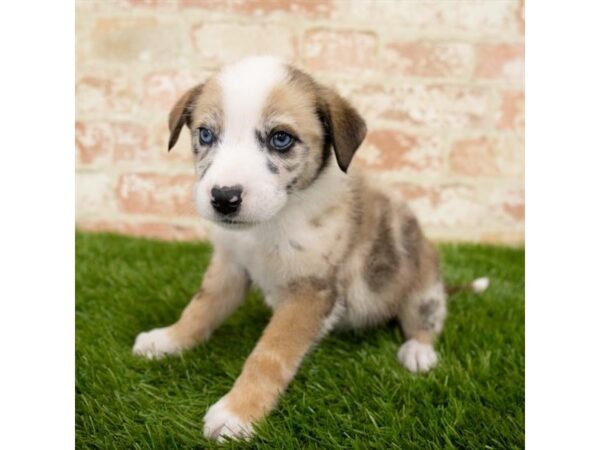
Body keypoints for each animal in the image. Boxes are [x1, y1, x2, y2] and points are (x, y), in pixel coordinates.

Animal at [132, 57, 488, 442]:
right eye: (206, 135)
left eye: (281, 138)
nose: (224, 198)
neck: (270, 224)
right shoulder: (230, 266)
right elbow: (199, 309)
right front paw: (167, 340)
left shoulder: (310, 293)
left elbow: (269, 356)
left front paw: (236, 413)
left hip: (421, 288)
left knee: (425, 320)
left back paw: (419, 351)